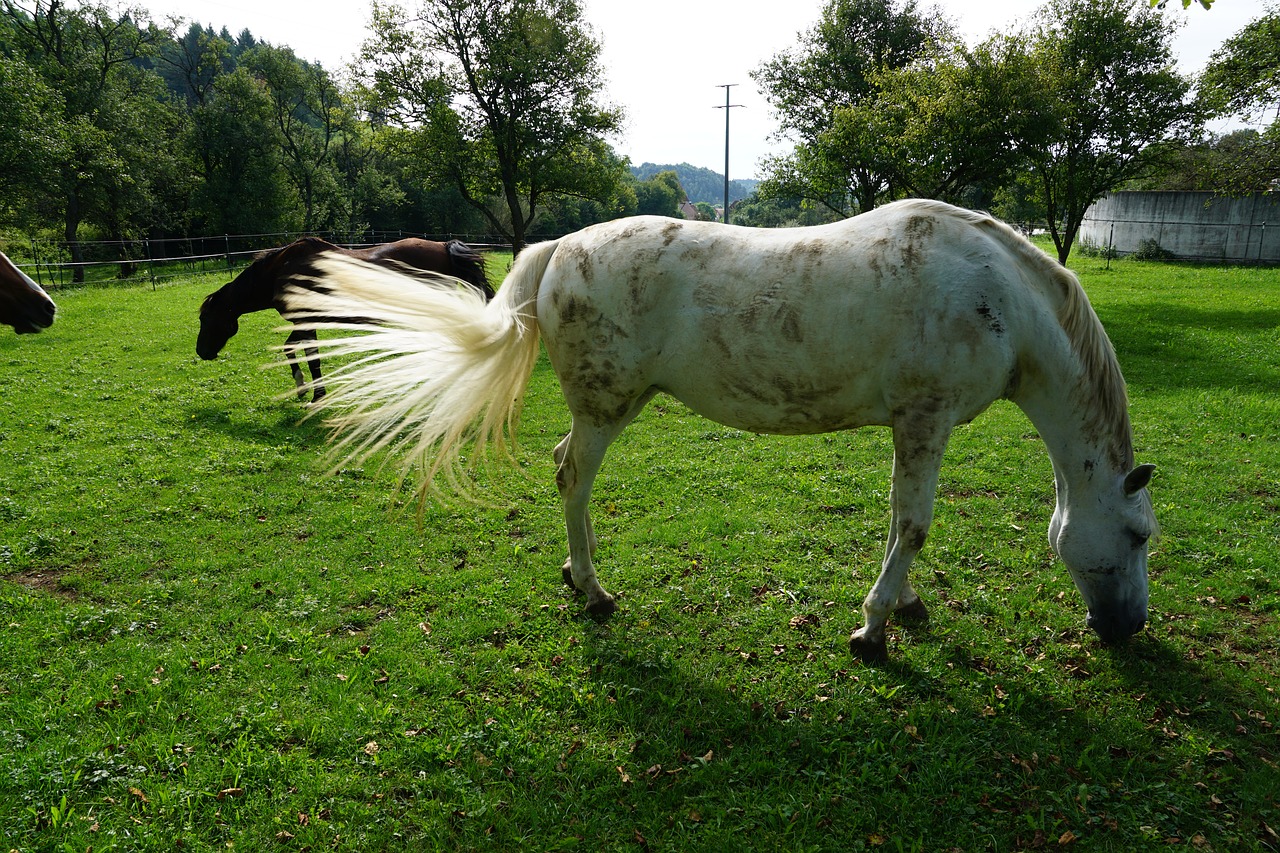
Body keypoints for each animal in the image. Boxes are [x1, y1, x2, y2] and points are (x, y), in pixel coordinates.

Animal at [196, 236, 493, 402]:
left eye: (206, 319)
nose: (201, 352)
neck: (280, 270)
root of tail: (443, 246)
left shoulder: (306, 321)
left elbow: (311, 357)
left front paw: (317, 395)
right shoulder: (304, 321)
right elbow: (291, 349)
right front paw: (301, 387)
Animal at [282, 200, 1158, 662]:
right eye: (1140, 534)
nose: (1128, 627)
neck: (998, 298)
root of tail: (557, 248)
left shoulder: (918, 427)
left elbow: (902, 524)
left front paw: (903, 603)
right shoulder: (923, 417)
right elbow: (911, 524)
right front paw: (873, 626)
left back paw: (575, 576)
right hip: (605, 409)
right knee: (571, 476)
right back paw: (593, 589)